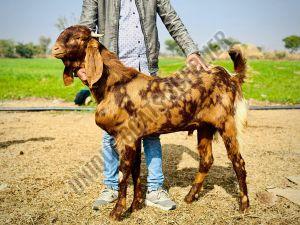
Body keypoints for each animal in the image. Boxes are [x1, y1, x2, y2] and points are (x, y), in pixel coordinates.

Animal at [52, 25, 250, 221]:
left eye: (79, 38)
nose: (55, 49)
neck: (113, 83)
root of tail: (229, 77)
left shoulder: (126, 137)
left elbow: (123, 174)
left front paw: (117, 212)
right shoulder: (135, 138)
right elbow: (136, 171)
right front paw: (135, 206)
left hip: (226, 123)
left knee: (238, 162)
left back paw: (244, 206)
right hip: (204, 127)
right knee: (206, 160)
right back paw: (190, 197)